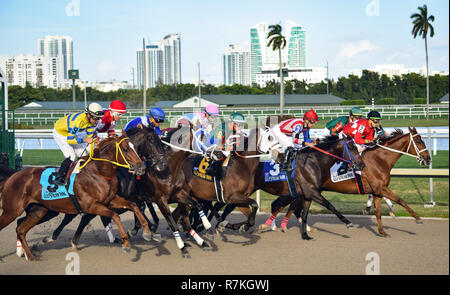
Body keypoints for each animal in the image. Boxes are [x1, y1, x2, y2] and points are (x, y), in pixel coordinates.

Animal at [0, 135, 151, 262]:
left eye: (136, 148)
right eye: (125, 149)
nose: (142, 167)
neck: (98, 172)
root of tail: (11, 178)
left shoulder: (110, 200)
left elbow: (133, 205)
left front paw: (147, 231)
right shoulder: (91, 206)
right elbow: (115, 215)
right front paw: (126, 242)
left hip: (40, 211)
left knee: (21, 229)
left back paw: (30, 255)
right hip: (12, 211)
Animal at [266, 127, 430, 238]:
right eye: (419, 141)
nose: (428, 159)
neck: (380, 159)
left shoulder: (377, 191)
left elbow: (378, 212)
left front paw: (382, 231)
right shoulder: (381, 188)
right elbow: (400, 200)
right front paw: (418, 219)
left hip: (305, 191)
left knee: (289, 206)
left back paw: (283, 226)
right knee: (280, 204)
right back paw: (273, 225)